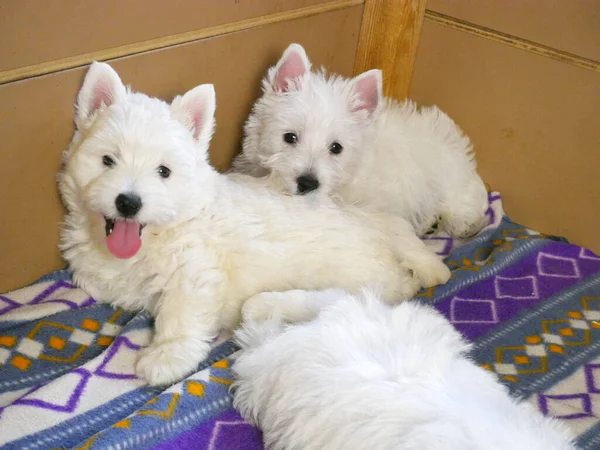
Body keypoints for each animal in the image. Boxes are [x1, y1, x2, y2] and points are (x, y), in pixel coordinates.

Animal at [59, 61, 432, 384]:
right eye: (107, 160)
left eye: (163, 171)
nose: (128, 202)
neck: (160, 233)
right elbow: (92, 279)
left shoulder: (196, 269)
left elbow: (181, 309)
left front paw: (167, 355)